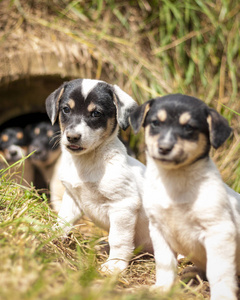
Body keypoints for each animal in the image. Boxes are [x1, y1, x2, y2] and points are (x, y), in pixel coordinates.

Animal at [45, 78, 152, 274]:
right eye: (66, 109)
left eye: (96, 113)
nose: (72, 137)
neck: (87, 162)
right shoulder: (72, 198)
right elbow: (62, 221)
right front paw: (49, 235)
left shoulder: (123, 205)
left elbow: (118, 239)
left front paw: (115, 264)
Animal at [130, 94, 240, 300]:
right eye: (155, 123)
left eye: (189, 127)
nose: (164, 148)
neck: (175, 181)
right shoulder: (159, 231)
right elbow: (165, 264)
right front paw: (163, 288)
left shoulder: (219, 232)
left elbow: (219, 271)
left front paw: (222, 295)